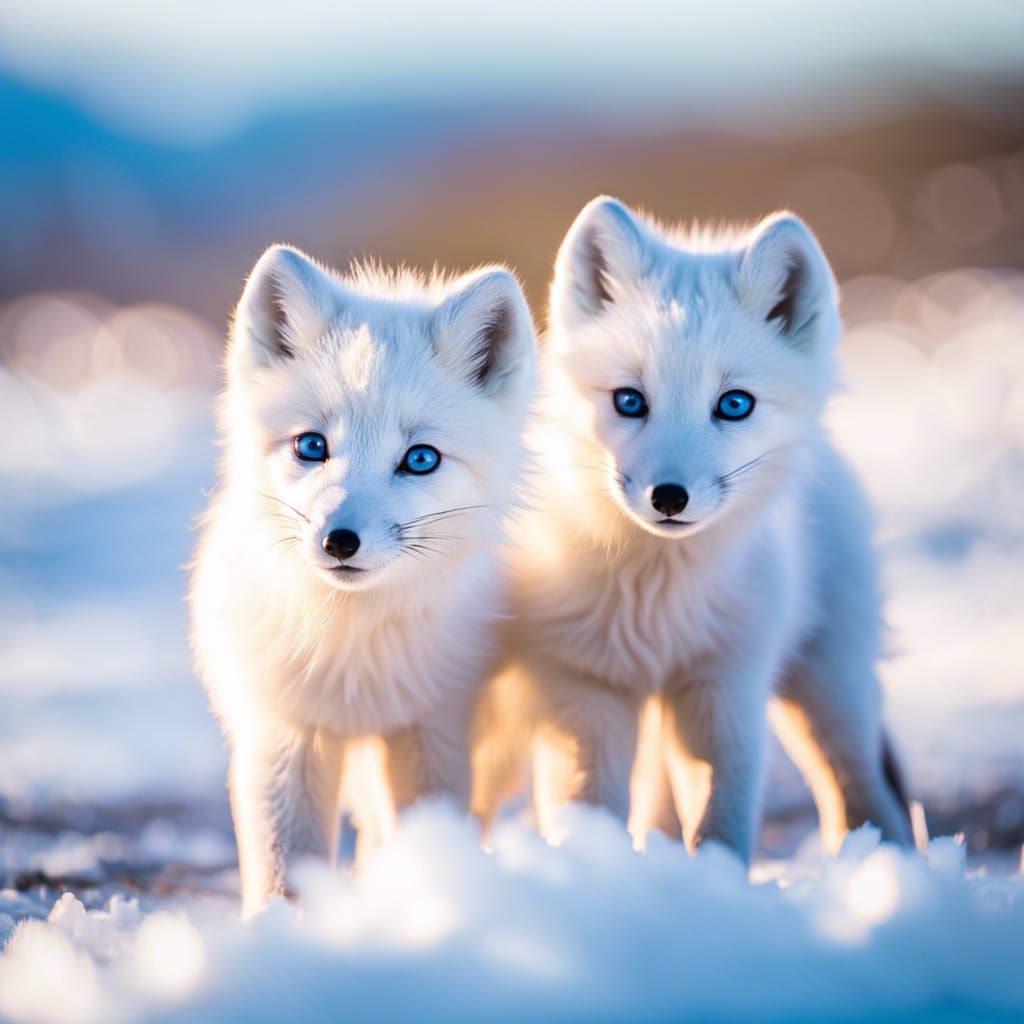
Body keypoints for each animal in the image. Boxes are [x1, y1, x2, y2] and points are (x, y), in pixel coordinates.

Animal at [189, 244, 536, 915]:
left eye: (420, 458)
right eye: (311, 445)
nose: (339, 541)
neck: (354, 658)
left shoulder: (434, 731)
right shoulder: (283, 735)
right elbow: (282, 872)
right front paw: (278, 931)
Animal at [477, 197, 913, 864]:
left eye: (734, 404)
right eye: (630, 401)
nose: (669, 498)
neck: (658, 605)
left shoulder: (724, 687)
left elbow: (721, 820)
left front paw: (718, 879)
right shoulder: (583, 689)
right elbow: (588, 807)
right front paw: (595, 868)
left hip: (824, 690)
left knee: (859, 791)